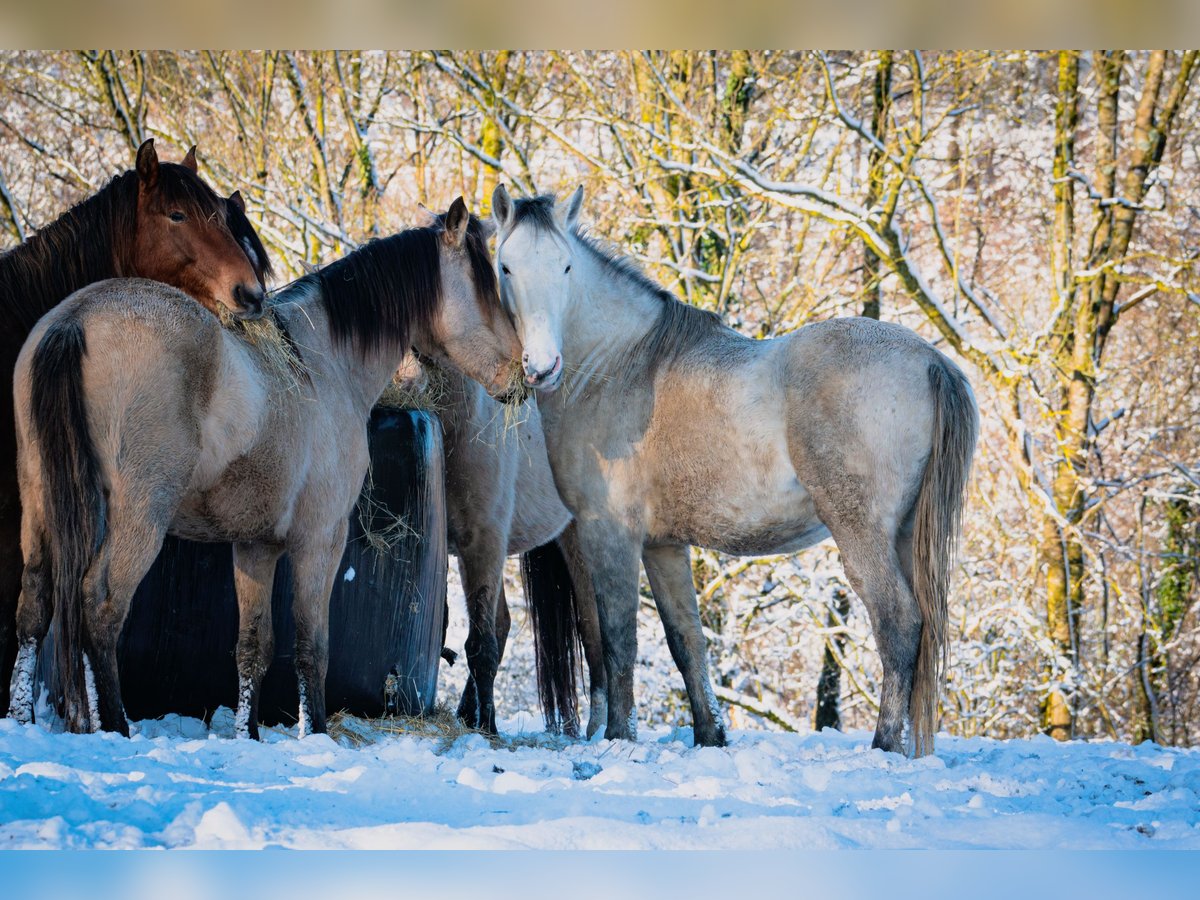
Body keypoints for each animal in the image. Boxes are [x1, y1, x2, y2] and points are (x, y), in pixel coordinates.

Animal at [492, 187, 979, 758]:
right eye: (505, 266)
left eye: (565, 266)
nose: (541, 366)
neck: (618, 367)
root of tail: (929, 361)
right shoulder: (662, 546)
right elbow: (687, 641)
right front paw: (710, 736)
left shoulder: (608, 534)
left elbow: (617, 640)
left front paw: (617, 738)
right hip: (903, 535)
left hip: (861, 533)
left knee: (898, 621)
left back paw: (883, 745)